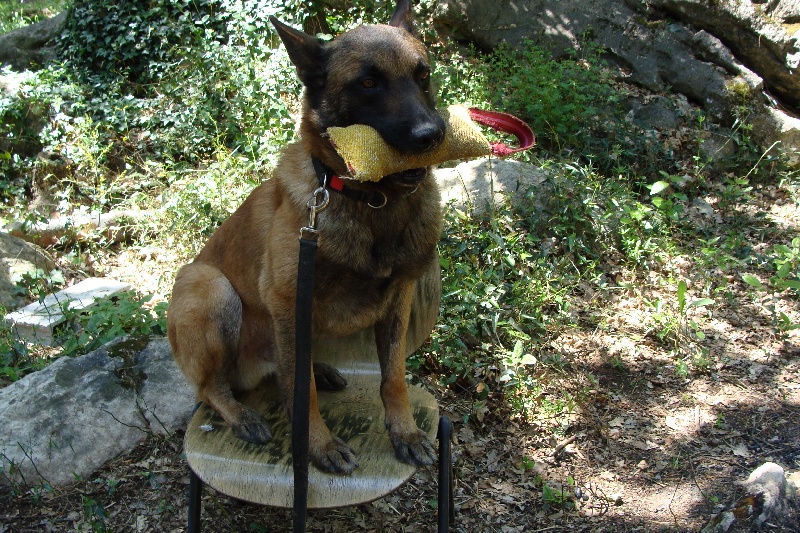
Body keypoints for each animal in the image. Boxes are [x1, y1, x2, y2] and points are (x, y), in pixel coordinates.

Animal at [167, 0, 444, 474]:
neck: (371, 202)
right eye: (368, 82)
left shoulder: (398, 299)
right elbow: (302, 397)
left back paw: (319, 370)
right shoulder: (287, 301)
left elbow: (393, 377)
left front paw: (404, 431)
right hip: (210, 287)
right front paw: (318, 446)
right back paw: (241, 415)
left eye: (422, 74)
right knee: (213, 388)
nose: (432, 136)